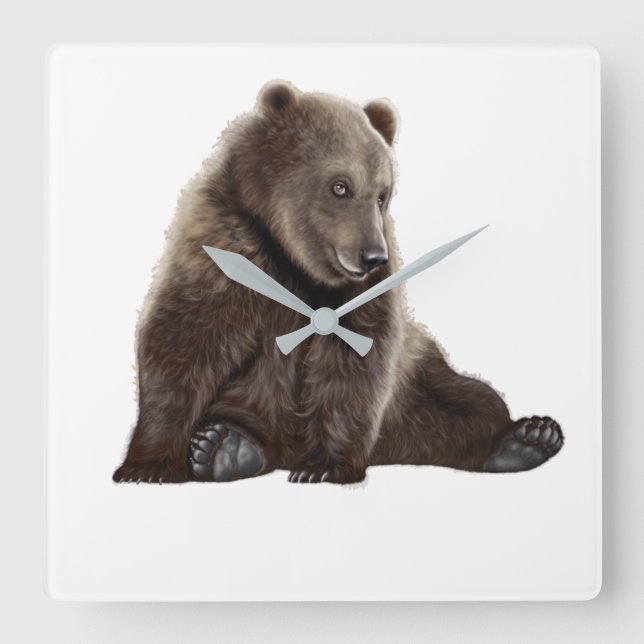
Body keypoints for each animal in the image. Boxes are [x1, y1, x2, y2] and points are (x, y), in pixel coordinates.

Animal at [113, 79, 563, 485]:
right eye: (340, 186)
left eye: (383, 194)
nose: (372, 256)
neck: (295, 261)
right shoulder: (223, 242)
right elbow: (183, 338)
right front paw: (147, 466)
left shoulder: (364, 293)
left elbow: (355, 360)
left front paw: (324, 466)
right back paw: (223, 446)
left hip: (416, 378)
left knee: (467, 401)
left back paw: (528, 439)